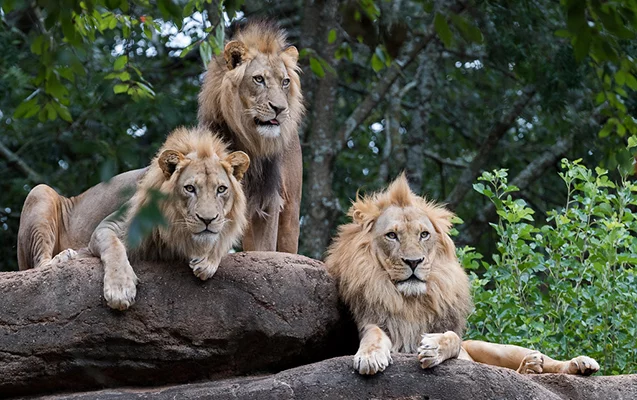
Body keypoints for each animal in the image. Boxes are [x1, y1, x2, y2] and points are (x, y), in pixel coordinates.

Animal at [20, 127, 248, 310]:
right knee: (39, 265)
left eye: (221, 189)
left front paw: (207, 260)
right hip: (40, 192)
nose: (207, 220)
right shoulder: (108, 226)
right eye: (190, 188)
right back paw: (64, 257)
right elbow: (114, 247)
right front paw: (120, 290)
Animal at [199, 19, 306, 253]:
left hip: (292, 208)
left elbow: (265, 247)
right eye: (258, 79)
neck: (250, 142)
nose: (280, 109)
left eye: (285, 82)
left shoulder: (270, 197)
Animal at [326, 174, 600, 376]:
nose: (414, 262)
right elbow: (374, 333)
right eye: (392, 235)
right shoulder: (371, 321)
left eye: (424, 234)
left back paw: (578, 363)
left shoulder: (462, 350)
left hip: (495, 348)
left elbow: (453, 338)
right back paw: (532, 368)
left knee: (546, 361)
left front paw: (434, 348)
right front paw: (370, 356)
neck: (411, 301)